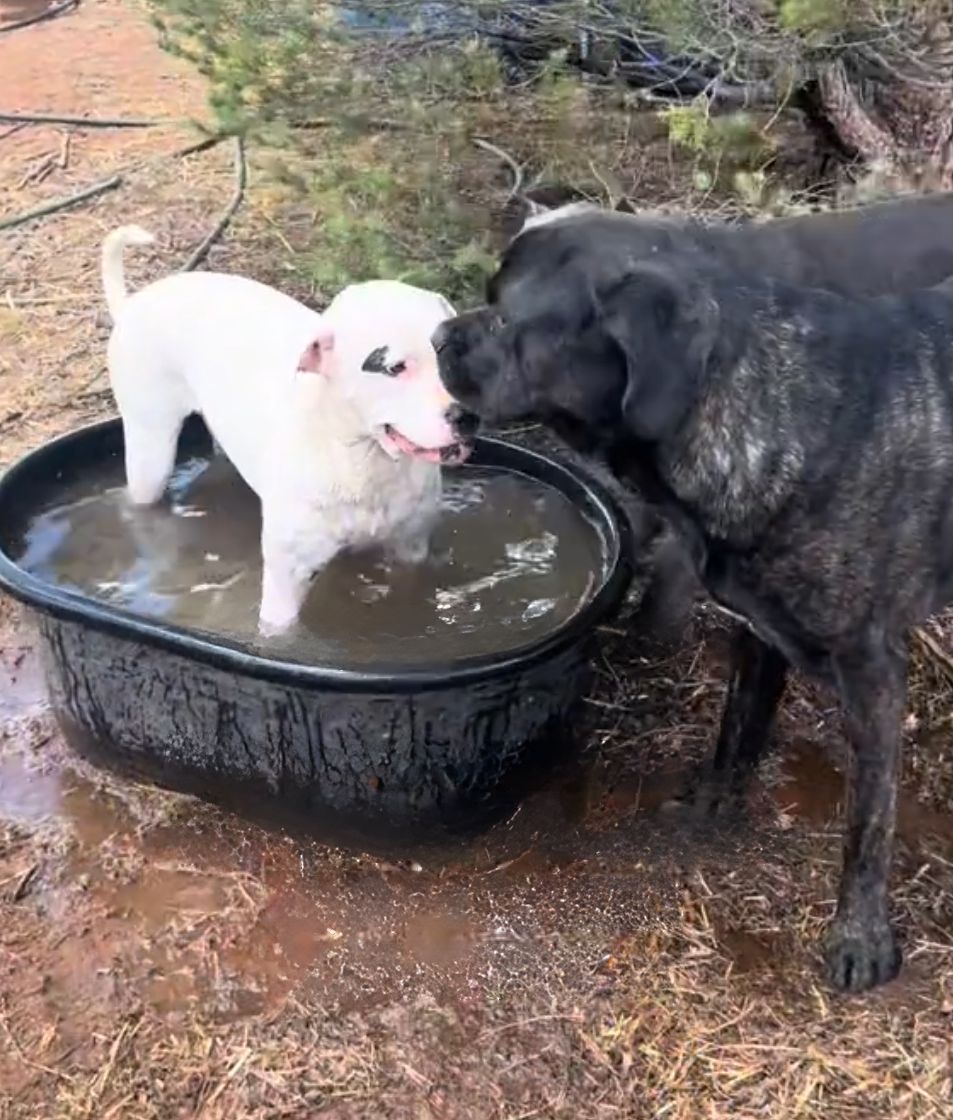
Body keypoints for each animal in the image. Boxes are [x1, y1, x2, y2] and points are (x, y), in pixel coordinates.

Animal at [102, 225, 472, 631]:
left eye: (454, 352)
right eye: (395, 367)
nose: (467, 416)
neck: (361, 460)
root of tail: (134, 304)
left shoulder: (410, 550)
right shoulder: (286, 580)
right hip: (150, 453)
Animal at [436, 231, 953, 994]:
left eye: (512, 317)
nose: (437, 336)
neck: (766, 408)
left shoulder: (873, 670)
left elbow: (869, 818)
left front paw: (860, 935)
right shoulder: (759, 635)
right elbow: (737, 731)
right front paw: (712, 806)